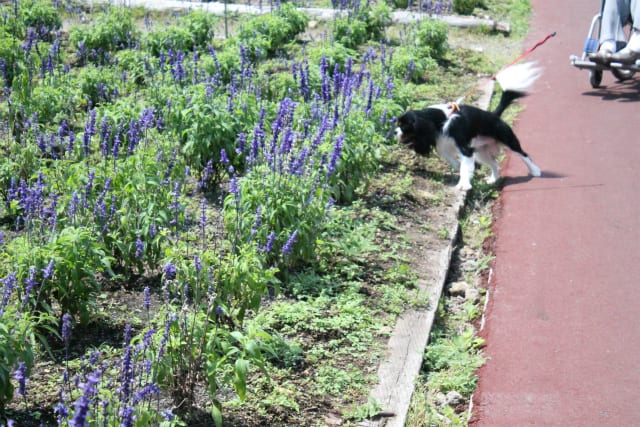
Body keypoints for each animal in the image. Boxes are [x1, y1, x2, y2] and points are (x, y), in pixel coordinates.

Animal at [396, 61, 540, 191]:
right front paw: (460, 169)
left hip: (507, 139)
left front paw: (463, 185)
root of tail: (494, 115)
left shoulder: (465, 149)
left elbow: (464, 168)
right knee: (494, 163)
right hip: (481, 152)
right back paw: (493, 179)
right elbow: (454, 161)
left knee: (524, 154)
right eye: (398, 125)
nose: (395, 132)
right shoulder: (444, 145)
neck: (442, 120)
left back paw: (535, 171)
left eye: (404, 126)